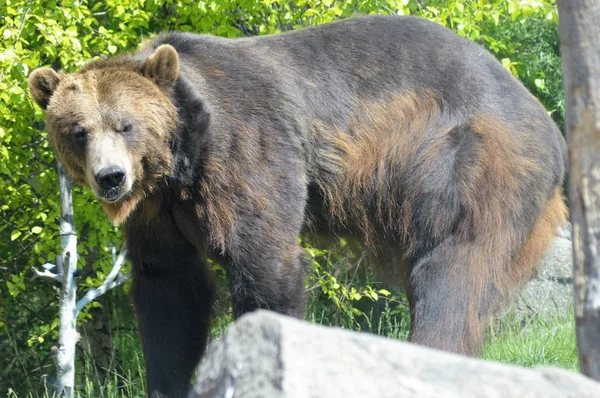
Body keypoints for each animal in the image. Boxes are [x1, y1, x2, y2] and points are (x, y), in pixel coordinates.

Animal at [29, 14, 568, 398]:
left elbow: (264, 262)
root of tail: (548, 122)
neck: (183, 161)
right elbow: (170, 289)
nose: (111, 178)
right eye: (78, 131)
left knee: (452, 270)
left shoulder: (249, 149)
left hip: (468, 158)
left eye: (126, 124)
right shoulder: (157, 213)